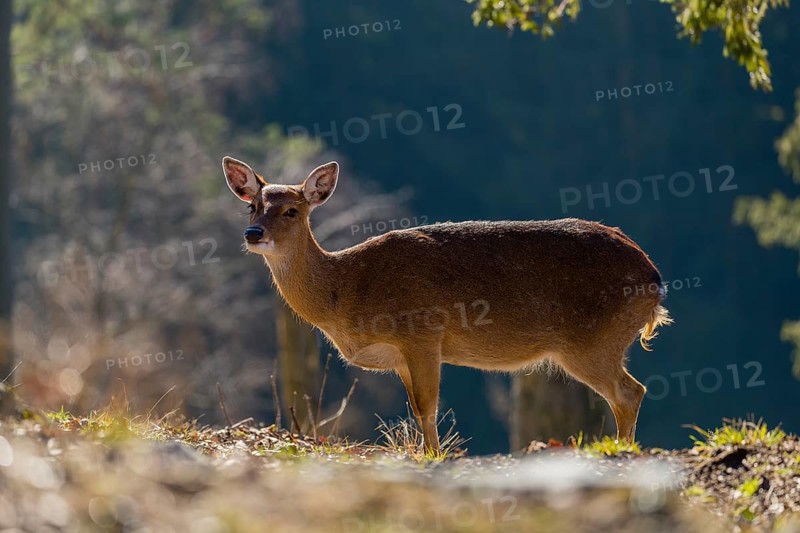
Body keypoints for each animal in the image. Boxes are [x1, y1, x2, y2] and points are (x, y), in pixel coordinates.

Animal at [222, 157, 672, 454]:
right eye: (252, 205)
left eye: (292, 209)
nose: (253, 233)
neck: (347, 291)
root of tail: (654, 277)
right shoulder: (402, 356)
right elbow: (417, 409)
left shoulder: (422, 335)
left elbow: (427, 407)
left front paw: (434, 458)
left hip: (592, 342)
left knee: (630, 392)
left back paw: (624, 452)